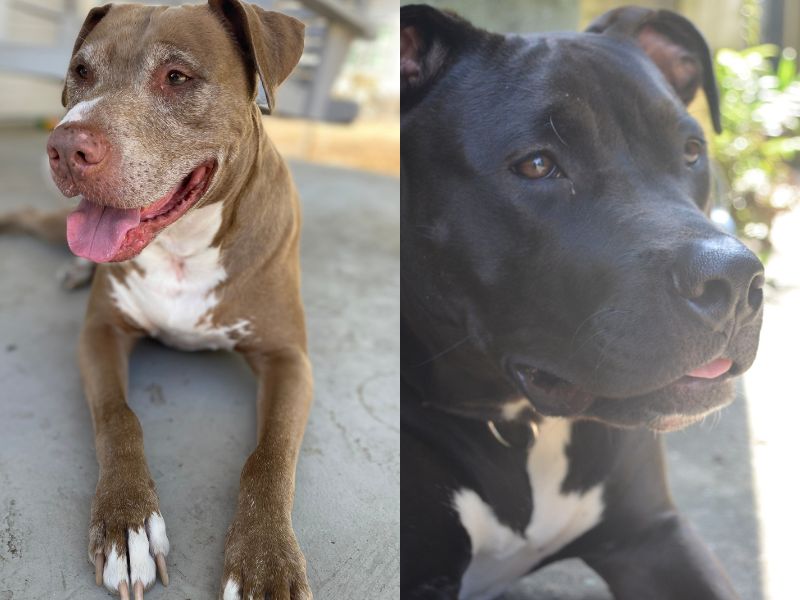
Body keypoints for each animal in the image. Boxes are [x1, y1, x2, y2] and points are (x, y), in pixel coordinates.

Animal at [5, 1, 312, 600]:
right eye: (81, 71)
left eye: (177, 77)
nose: (66, 146)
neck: (183, 246)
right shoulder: (100, 334)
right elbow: (118, 416)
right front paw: (127, 524)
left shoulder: (289, 359)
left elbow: (269, 456)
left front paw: (266, 558)